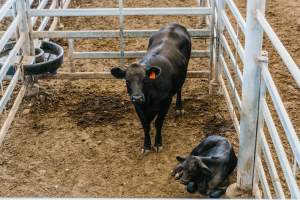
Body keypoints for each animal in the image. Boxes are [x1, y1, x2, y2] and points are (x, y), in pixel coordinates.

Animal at [111, 23, 191, 155]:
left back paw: (179, 107)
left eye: (145, 79)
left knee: (179, 88)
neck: (150, 95)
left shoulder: (165, 102)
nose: (137, 97)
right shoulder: (138, 106)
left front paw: (158, 143)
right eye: (127, 81)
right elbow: (146, 125)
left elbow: (158, 123)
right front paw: (146, 145)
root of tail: (174, 25)